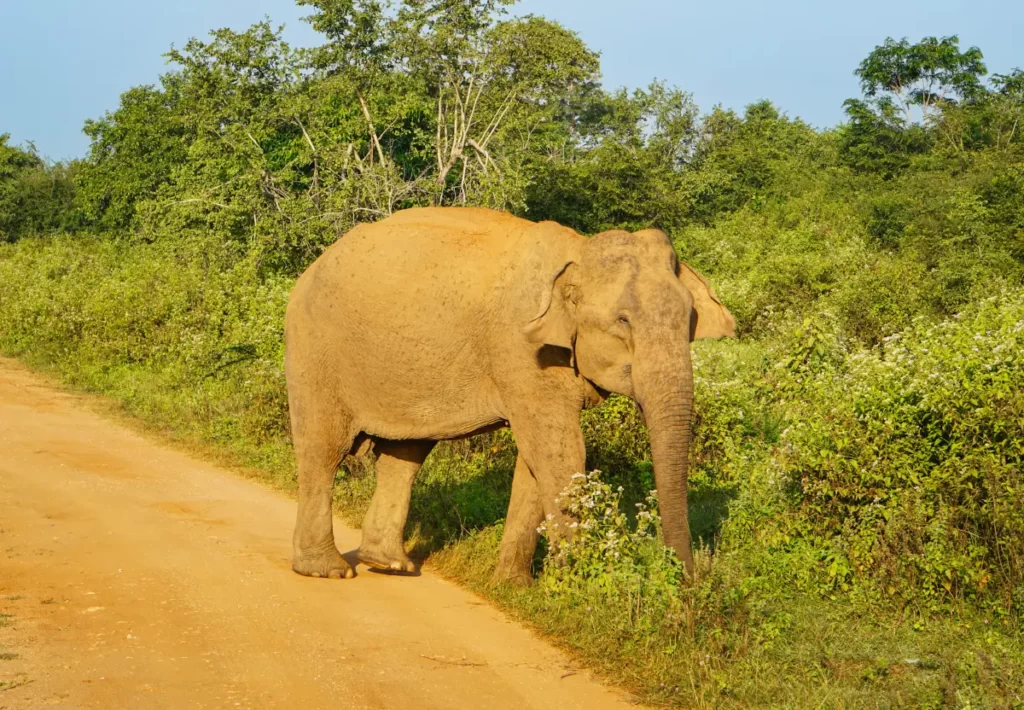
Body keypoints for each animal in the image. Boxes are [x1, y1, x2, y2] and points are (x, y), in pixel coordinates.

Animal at [284, 206, 735, 583]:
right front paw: (578, 585)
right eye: (622, 321)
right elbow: (559, 450)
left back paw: (391, 564)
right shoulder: (521, 349)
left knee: (405, 454)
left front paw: (513, 585)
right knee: (324, 449)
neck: (578, 251)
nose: (688, 579)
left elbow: (535, 461)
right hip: (314, 350)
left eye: (690, 318)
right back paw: (327, 570)